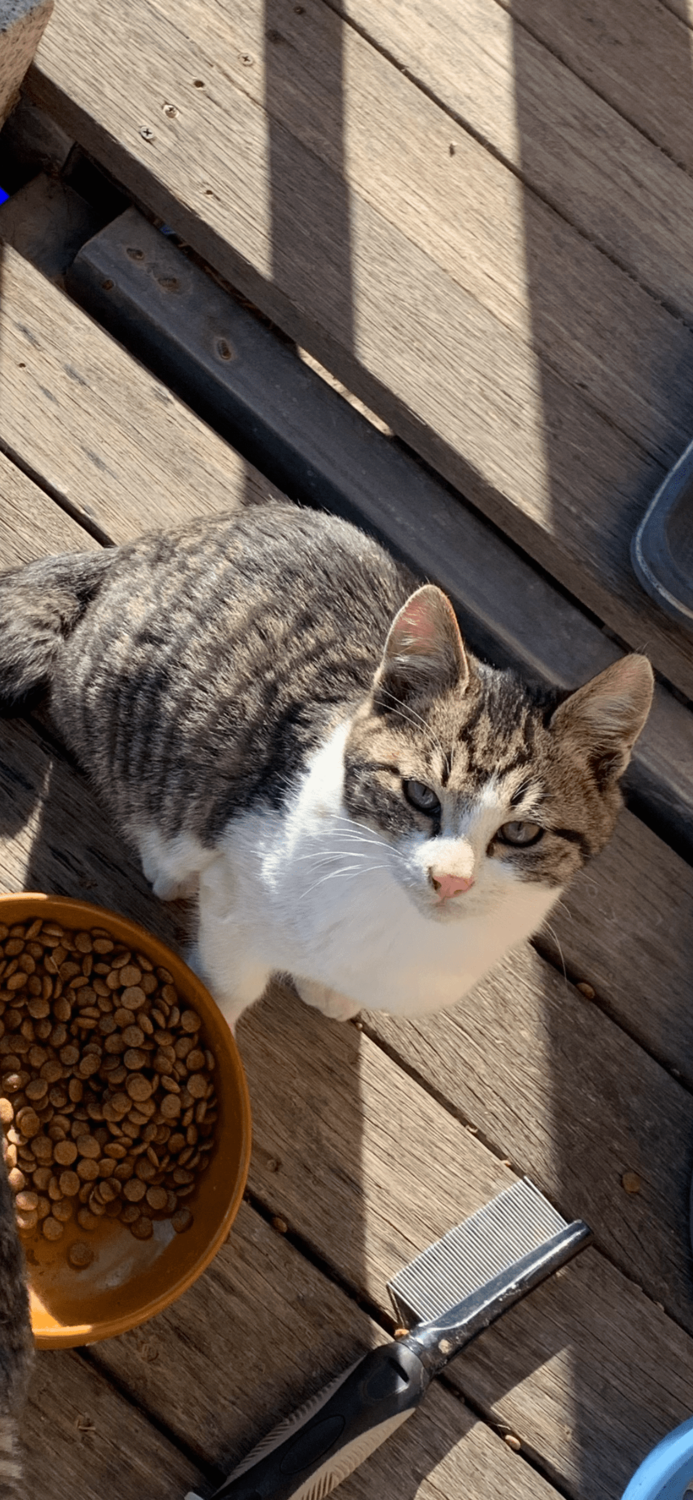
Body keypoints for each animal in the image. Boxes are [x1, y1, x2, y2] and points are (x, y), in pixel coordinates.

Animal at [0, 501, 653, 1030]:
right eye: (420, 795)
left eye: (520, 831)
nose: (450, 879)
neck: (394, 918)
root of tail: (141, 547)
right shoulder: (237, 901)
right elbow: (226, 983)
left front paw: (331, 991)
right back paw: (169, 865)